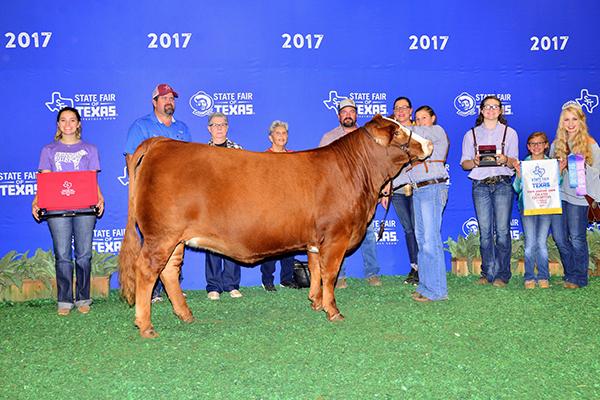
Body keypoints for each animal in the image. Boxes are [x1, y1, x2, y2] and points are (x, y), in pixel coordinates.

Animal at [119, 115, 434, 338]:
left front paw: (315, 302)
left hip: (175, 238)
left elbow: (316, 270)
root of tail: (162, 142)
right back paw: (145, 325)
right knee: (147, 271)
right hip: (161, 235)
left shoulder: (315, 240)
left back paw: (185, 314)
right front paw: (333, 311)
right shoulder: (336, 236)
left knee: (169, 272)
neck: (354, 173)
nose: (430, 145)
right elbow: (330, 274)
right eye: (399, 132)